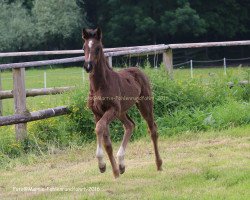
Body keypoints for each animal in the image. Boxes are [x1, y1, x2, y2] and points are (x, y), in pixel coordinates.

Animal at [83, 27, 163, 178]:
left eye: (97, 48)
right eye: (84, 47)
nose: (88, 66)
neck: (99, 86)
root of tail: (138, 70)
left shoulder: (112, 109)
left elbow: (99, 128)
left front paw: (101, 165)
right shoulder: (97, 113)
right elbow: (107, 142)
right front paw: (115, 173)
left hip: (144, 104)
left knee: (153, 130)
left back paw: (159, 165)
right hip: (122, 111)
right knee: (130, 125)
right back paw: (121, 164)